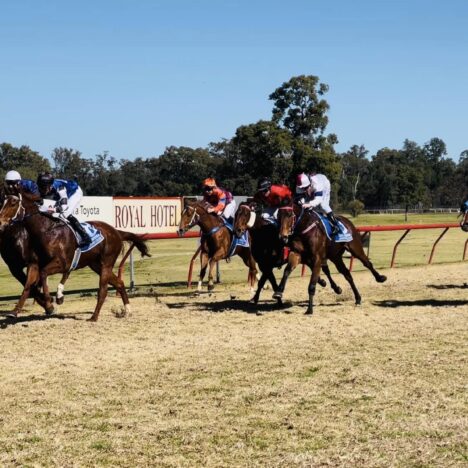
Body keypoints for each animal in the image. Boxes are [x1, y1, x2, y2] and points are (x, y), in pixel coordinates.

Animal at [0, 192, 150, 320]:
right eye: (3, 202)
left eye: (13, 203)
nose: (1, 222)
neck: (46, 230)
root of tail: (116, 232)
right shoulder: (35, 263)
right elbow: (29, 285)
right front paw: (15, 311)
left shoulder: (62, 263)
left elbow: (43, 275)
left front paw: (52, 301)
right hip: (96, 265)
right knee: (119, 283)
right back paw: (127, 310)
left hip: (107, 262)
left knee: (103, 290)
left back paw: (94, 317)